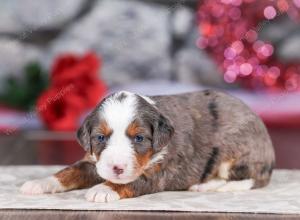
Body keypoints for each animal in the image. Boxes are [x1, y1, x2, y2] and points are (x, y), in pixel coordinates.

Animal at [19, 90, 276, 202]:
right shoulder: (92, 161)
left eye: (139, 138)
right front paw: (40, 183)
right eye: (100, 138)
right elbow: (70, 170)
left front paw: (103, 189)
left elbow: (132, 181)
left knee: (253, 179)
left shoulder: (160, 171)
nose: (117, 168)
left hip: (237, 150)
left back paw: (206, 186)